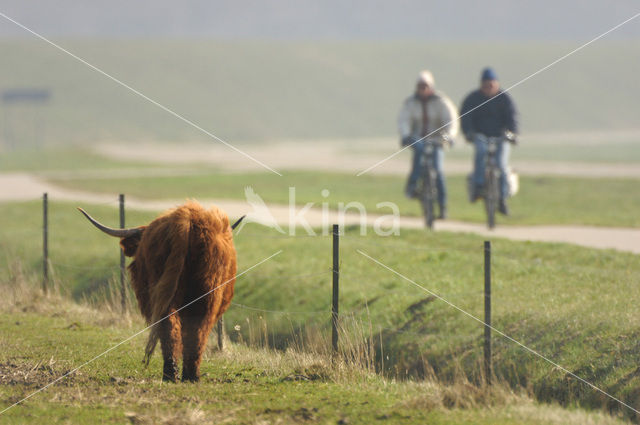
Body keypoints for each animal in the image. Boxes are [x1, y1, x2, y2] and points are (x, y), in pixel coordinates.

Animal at [77, 200, 242, 382]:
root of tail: (185, 218)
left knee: (177, 326)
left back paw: (176, 373)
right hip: (203, 295)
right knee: (190, 328)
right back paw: (184, 375)